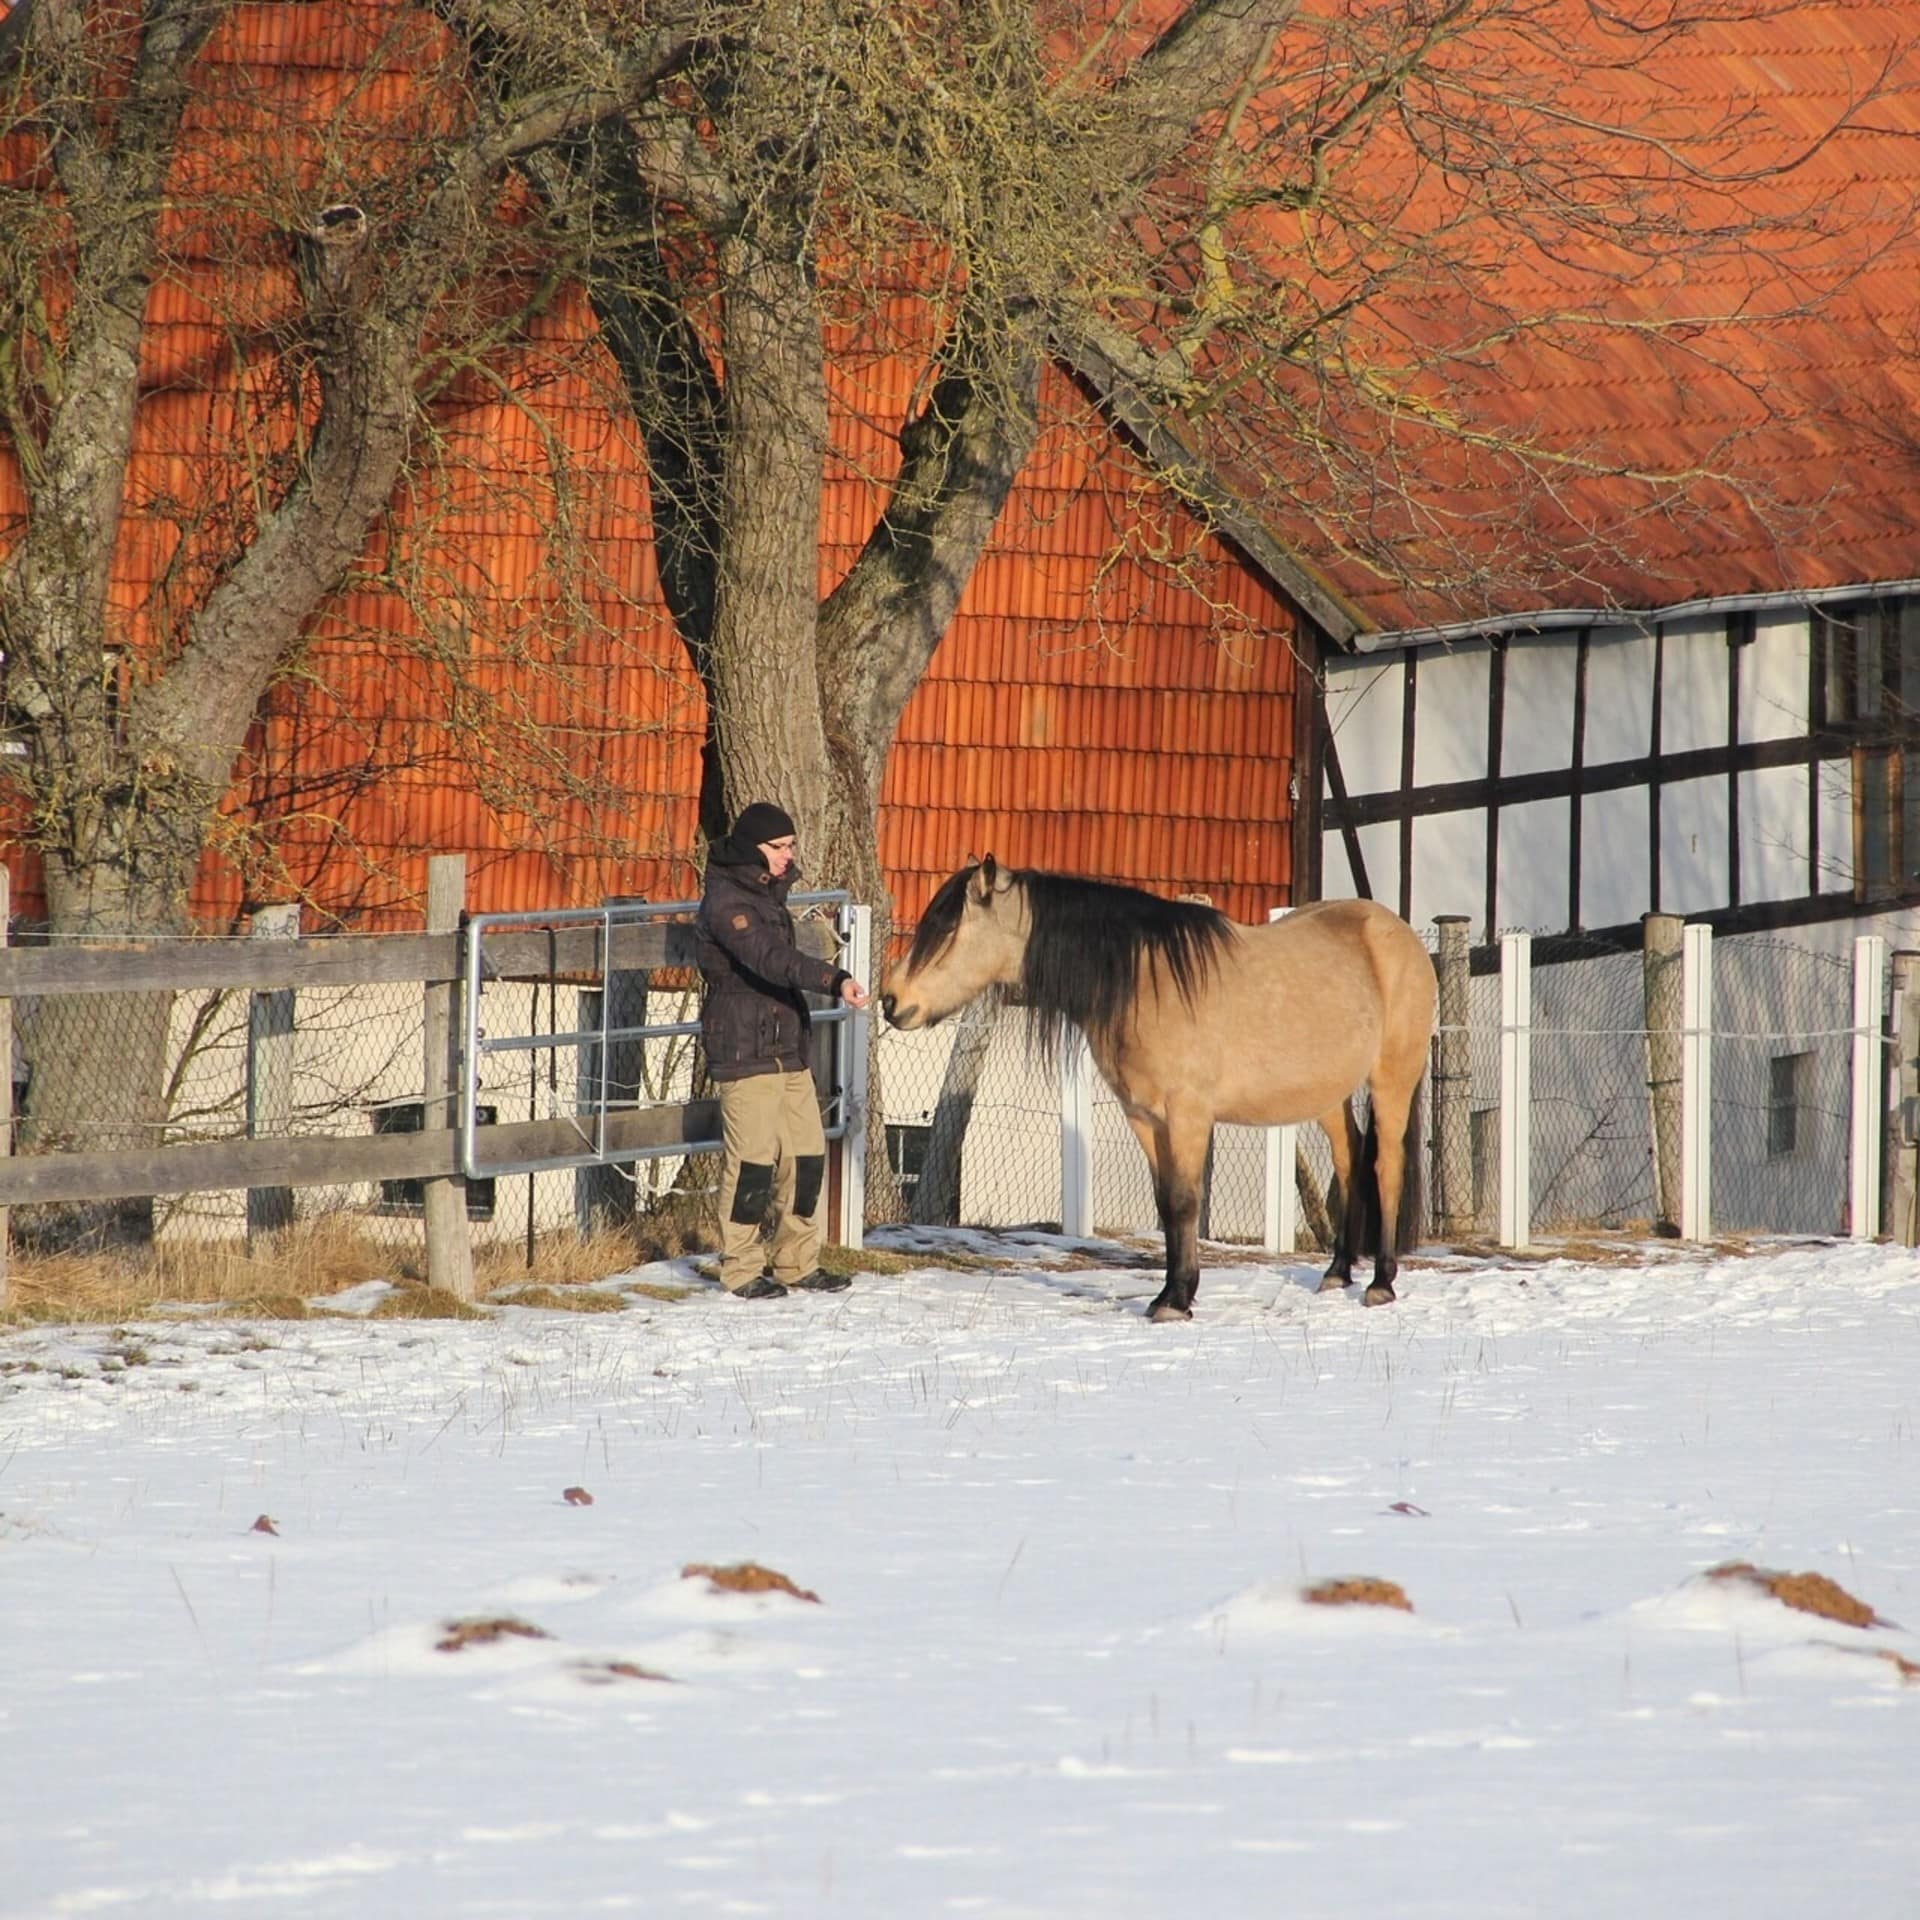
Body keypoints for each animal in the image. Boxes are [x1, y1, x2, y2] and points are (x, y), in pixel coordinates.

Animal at [879, 860, 1436, 1320]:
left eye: (948, 928)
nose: (890, 1000)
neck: (1147, 981)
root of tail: (1400, 934)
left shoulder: (1188, 1116)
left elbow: (1186, 1202)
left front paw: (1179, 1300)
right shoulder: (1145, 1118)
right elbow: (1166, 1203)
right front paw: (1169, 1294)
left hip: (1392, 1079)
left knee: (1385, 1165)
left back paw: (1381, 1282)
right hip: (1329, 1094)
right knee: (1350, 1158)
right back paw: (1338, 1272)